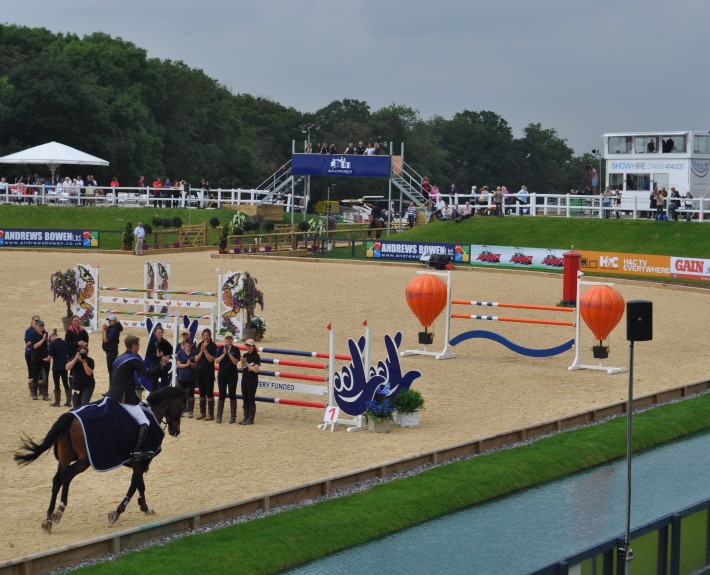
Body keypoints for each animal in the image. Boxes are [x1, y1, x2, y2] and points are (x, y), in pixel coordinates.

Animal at [14, 384, 186, 532]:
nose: (176, 431)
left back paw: (49, 518)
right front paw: (117, 512)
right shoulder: (141, 462)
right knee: (67, 475)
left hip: (65, 457)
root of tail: (70, 416)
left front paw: (145, 507)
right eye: (181, 406)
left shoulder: (138, 464)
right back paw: (59, 510)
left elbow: (140, 485)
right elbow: (134, 486)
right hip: (84, 461)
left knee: (57, 479)